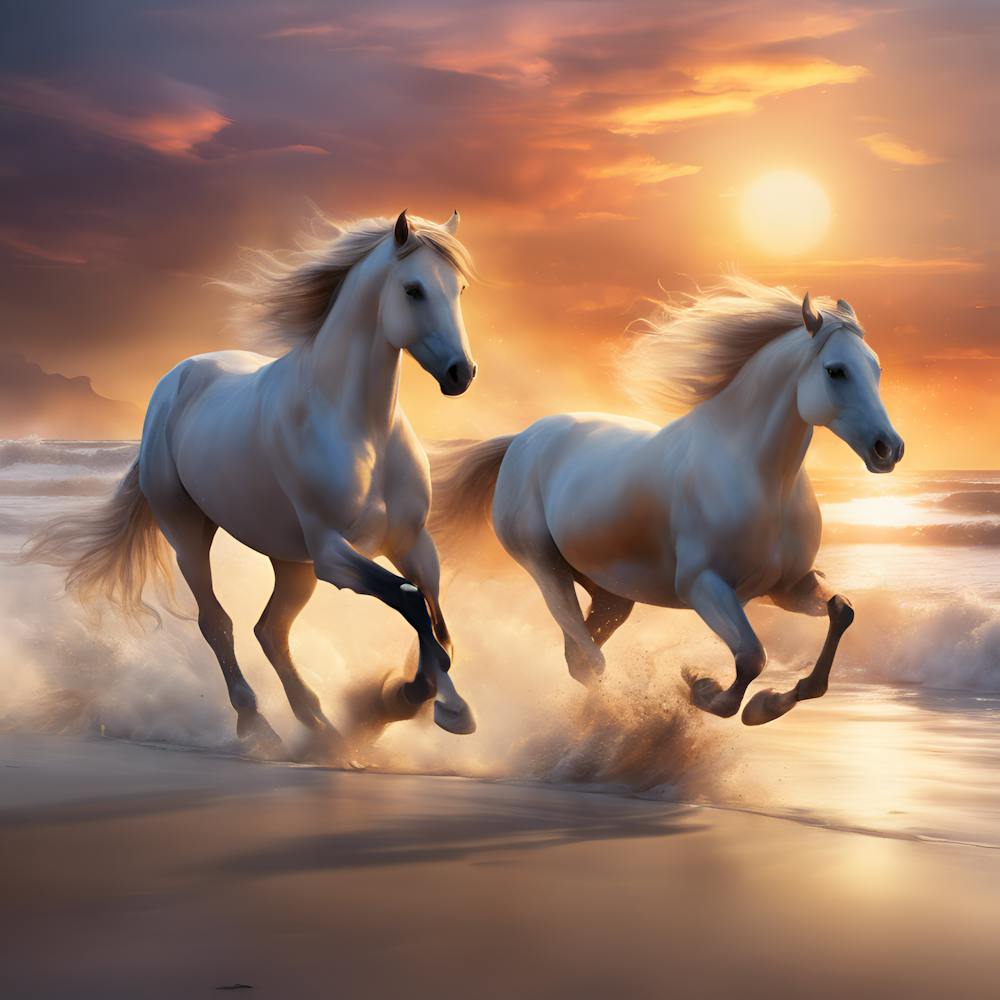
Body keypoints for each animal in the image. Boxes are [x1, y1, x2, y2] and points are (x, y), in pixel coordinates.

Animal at [25, 209, 479, 756]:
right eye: (413, 289)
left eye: (458, 288)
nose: (461, 373)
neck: (360, 429)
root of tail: (175, 380)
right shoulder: (332, 553)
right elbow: (411, 601)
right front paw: (444, 707)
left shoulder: (412, 544)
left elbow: (438, 625)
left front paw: (409, 698)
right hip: (190, 535)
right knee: (217, 622)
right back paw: (257, 724)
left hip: (291, 562)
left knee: (271, 631)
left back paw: (321, 725)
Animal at [429, 276, 904, 726]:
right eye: (836, 371)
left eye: (877, 368)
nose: (889, 448)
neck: (763, 480)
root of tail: (521, 439)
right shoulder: (703, 586)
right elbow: (751, 658)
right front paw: (705, 687)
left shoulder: (788, 586)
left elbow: (842, 613)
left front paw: (769, 701)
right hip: (545, 568)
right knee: (590, 660)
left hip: (611, 593)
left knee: (579, 656)